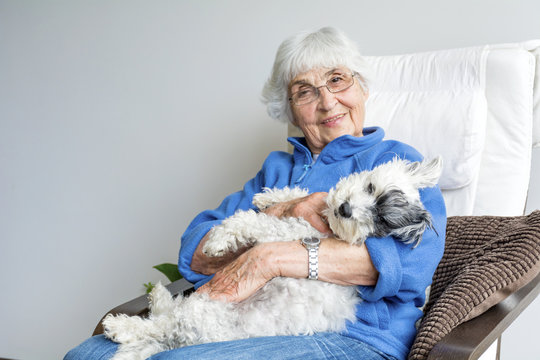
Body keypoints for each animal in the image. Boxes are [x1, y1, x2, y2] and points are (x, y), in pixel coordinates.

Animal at [104, 156, 442, 358]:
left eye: (380, 221)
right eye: (370, 187)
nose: (346, 209)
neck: (328, 227)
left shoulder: (281, 236)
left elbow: (250, 222)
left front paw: (219, 239)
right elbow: (298, 196)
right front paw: (271, 196)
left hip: (201, 314)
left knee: (160, 325)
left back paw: (121, 325)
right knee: (166, 316)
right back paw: (157, 295)